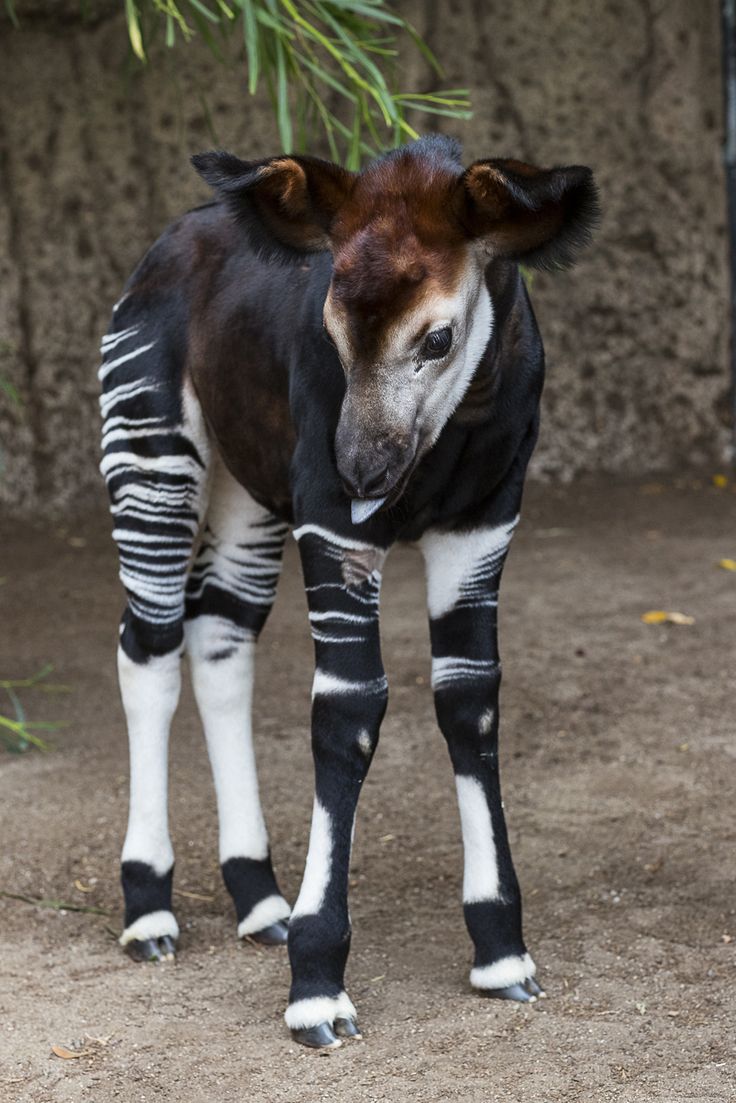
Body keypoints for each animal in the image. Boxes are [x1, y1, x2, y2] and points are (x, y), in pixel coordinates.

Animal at [97, 137, 600, 1050]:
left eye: (438, 337)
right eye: (328, 328)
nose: (361, 473)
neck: (453, 434)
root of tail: (171, 239)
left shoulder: (483, 524)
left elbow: (470, 703)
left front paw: (501, 949)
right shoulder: (335, 530)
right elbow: (349, 713)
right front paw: (318, 985)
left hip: (251, 490)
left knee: (221, 641)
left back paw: (259, 896)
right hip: (154, 447)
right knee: (149, 642)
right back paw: (149, 907)